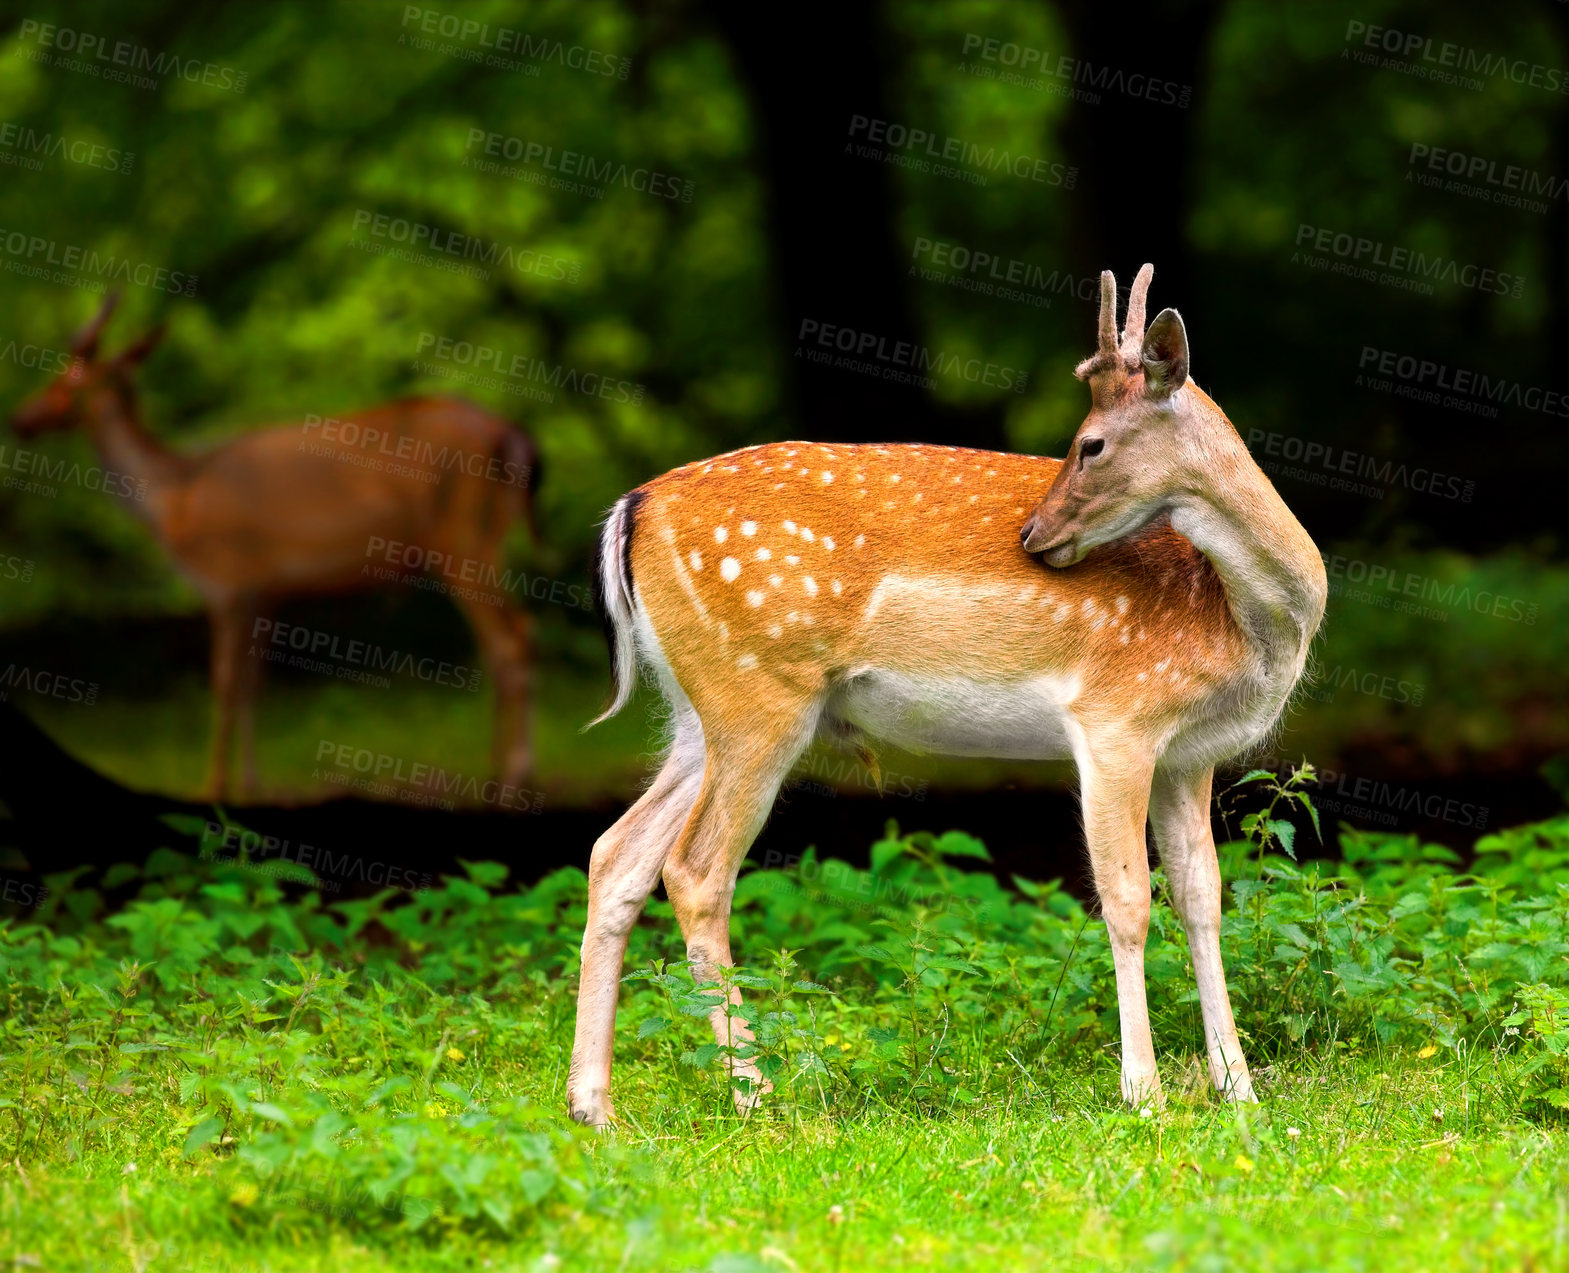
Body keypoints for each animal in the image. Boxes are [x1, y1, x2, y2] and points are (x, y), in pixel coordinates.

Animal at [9, 293, 542, 800]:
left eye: (66, 384)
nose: (20, 419)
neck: (175, 500)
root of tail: (513, 435)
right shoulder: (266, 592)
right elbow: (253, 685)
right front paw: (251, 784)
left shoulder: (227, 582)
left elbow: (225, 682)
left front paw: (213, 787)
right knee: (501, 643)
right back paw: (494, 775)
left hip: (464, 537)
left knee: (513, 637)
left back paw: (515, 780)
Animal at [564, 262, 1324, 1123]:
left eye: (1090, 442)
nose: (1032, 534)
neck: (1237, 620)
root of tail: (629, 512)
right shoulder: (1114, 718)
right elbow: (1127, 898)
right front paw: (1144, 1092)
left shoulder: (1189, 754)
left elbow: (1203, 897)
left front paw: (1238, 1087)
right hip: (757, 692)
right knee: (695, 870)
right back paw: (755, 1093)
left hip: (699, 711)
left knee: (616, 852)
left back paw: (593, 1104)